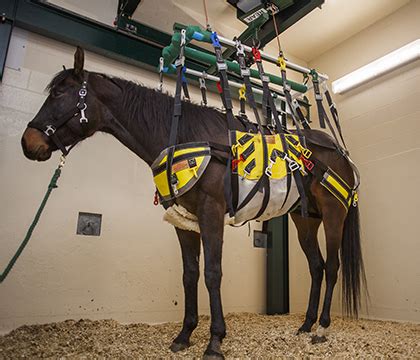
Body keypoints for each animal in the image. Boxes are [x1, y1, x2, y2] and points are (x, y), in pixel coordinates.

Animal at [21, 48, 366, 360]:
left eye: (58, 94)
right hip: (305, 219)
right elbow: (189, 274)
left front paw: (215, 342)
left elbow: (212, 273)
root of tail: (340, 152)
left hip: (334, 214)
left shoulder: (211, 213)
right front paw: (184, 335)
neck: (184, 137)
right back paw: (306, 325)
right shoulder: (184, 220)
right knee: (316, 267)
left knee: (332, 266)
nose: (28, 143)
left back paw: (322, 327)